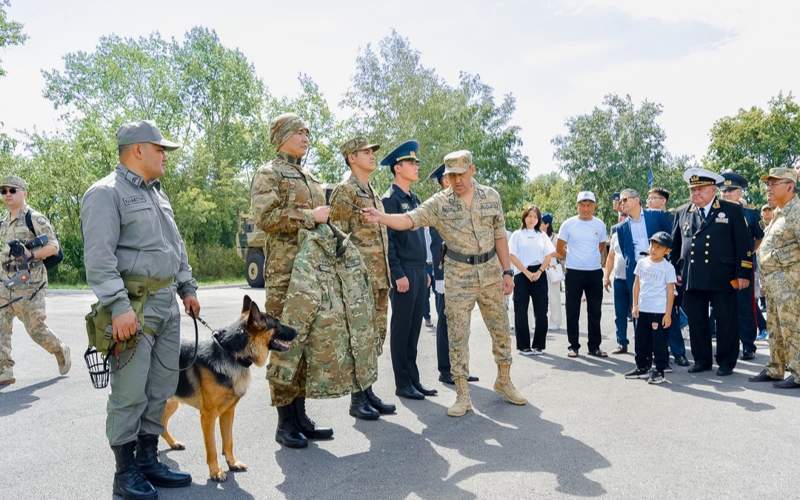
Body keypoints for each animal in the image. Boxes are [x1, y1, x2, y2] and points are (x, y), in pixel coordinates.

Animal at [162, 294, 296, 482]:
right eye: (276, 324)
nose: (297, 330)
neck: (232, 354)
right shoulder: (208, 417)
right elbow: (212, 447)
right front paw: (215, 471)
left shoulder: (228, 412)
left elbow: (228, 441)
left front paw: (232, 464)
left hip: (171, 403)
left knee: (160, 424)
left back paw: (173, 443)